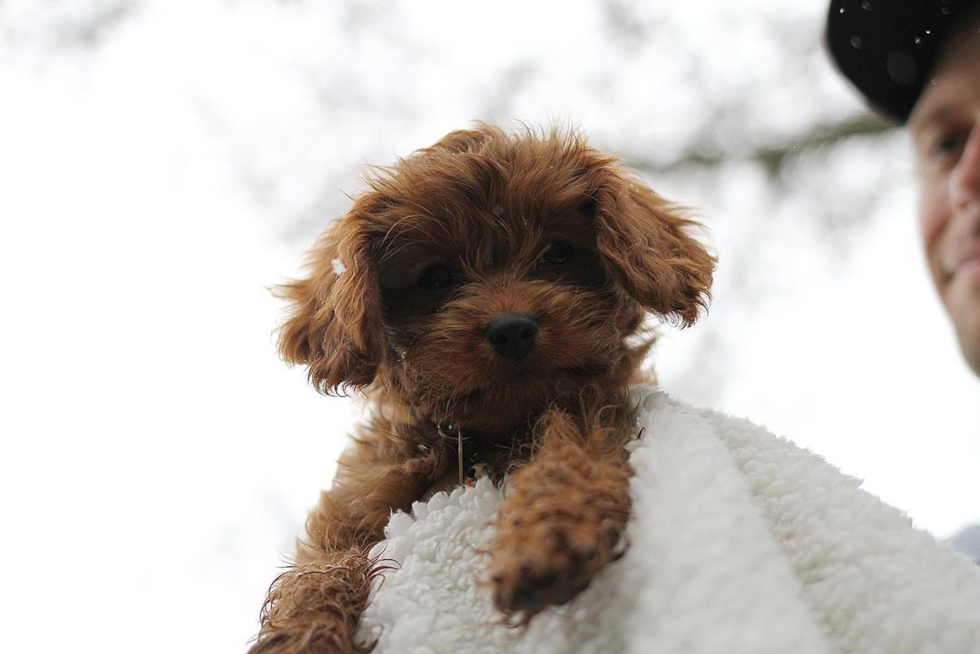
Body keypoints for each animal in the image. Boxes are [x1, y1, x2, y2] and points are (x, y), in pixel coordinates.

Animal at [249, 124, 716, 654]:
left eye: (558, 253)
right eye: (435, 277)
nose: (512, 329)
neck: (488, 435)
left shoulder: (601, 411)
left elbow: (575, 448)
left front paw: (545, 540)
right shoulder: (355, 510)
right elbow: (323, 569)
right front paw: (302, 635)